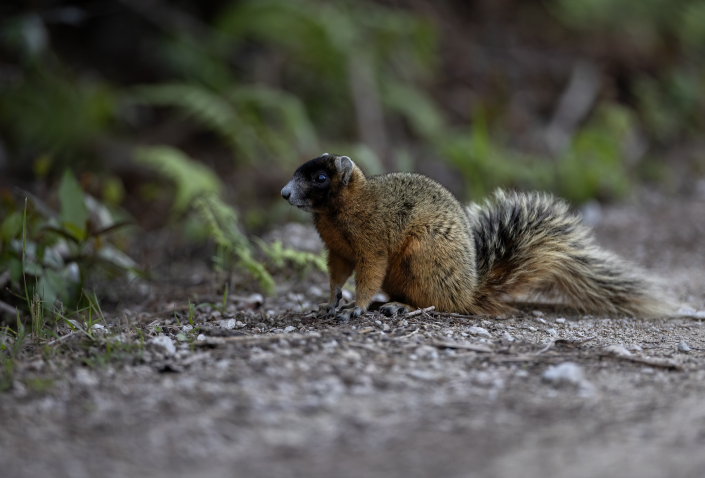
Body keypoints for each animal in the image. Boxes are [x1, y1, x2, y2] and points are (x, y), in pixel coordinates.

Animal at [280, 153, 672, 322]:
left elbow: (368, 273)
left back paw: (400, 307)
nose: (284, 193)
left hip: (425, 258)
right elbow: (336, 275)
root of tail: (469, 290)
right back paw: (388, 303)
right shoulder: (337, 250)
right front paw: (330, 302)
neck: (337, 212)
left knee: (438, 303)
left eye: (320, 178)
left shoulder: (373, 242)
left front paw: (356, 306)